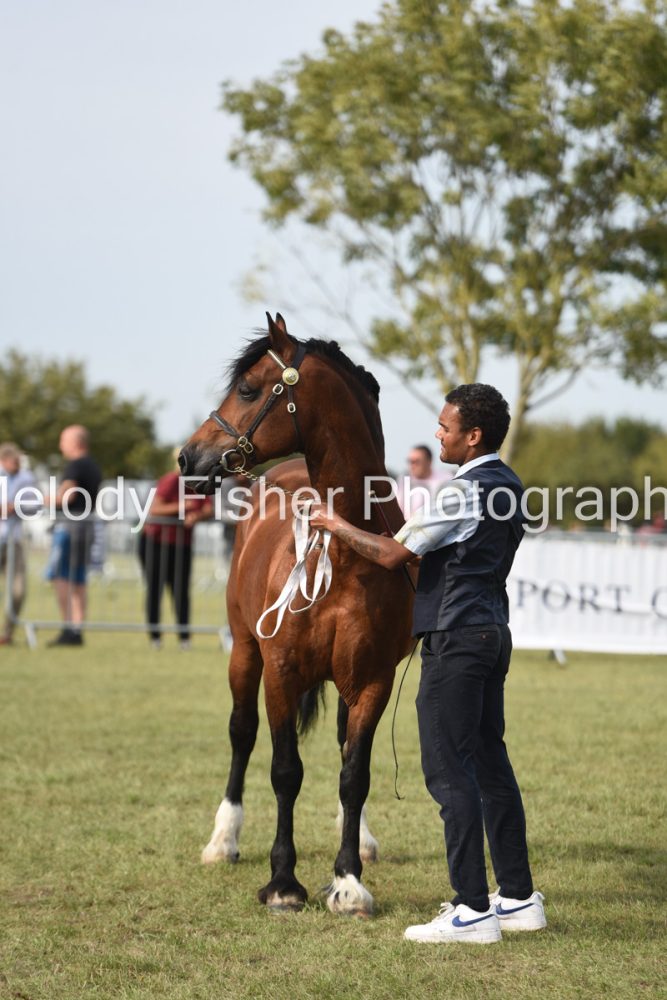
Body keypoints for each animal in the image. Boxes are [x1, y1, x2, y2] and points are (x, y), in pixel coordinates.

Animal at [179, 313, 413, 916]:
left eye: (246, 389)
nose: (187, 458)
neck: (347, 549)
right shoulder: (280, 671)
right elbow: (285, 771)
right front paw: (283, 882)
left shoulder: (372, 681)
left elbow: (354, 775)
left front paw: (348, 881)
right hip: (243, 653)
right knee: (241, 735)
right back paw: (223, 840)